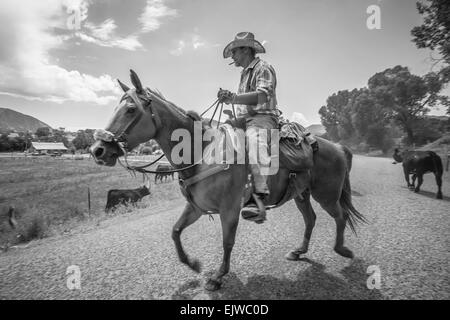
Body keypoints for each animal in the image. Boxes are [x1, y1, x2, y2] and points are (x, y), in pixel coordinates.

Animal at [90, 71, 366, 292]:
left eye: (131, 109)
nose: (98, 150)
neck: (201, 152)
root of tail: (338, 147)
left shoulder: (230, 209)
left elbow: (227, 241)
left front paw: (217, 277)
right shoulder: (196, 207)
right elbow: (176, 231)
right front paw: (193, 263)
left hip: (326, 194)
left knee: (340, 216)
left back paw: (343, 249)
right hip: (301, 194)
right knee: (311, 219)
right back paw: (299, 251)